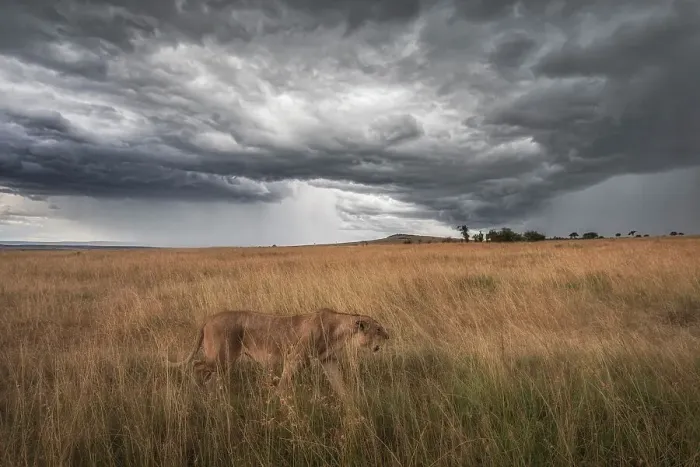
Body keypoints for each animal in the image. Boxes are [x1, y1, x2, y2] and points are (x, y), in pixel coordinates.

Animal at [167, 307, 390, 401]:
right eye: (378, 329)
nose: (388, 336)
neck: (339, 332)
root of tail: (208, 318)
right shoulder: (295, 358)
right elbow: (284, 384)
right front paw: (277, 402)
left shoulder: (328, 360)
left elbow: (339, 384)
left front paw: (351, 405)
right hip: (222, 357)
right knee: (197, 366)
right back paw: (197, 392)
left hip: (222, 361)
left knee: (209, 375)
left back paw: (211, 396)